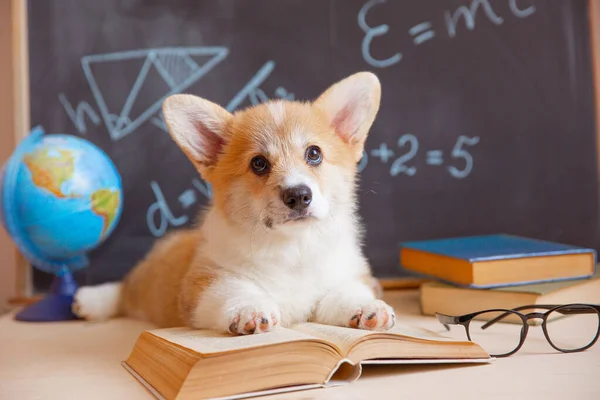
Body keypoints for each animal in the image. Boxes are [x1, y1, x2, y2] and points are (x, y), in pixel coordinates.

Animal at [72, 71, 396, 334]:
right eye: (259, 163)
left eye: (314, 153)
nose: (299, 196)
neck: (291, 248)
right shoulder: (205, 281)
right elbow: (232, 290)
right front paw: (249, 310)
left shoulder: (346, 274)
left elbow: (345, 292)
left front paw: (368, 307)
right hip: (150, 283)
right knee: (127, 288)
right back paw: (90, 301)